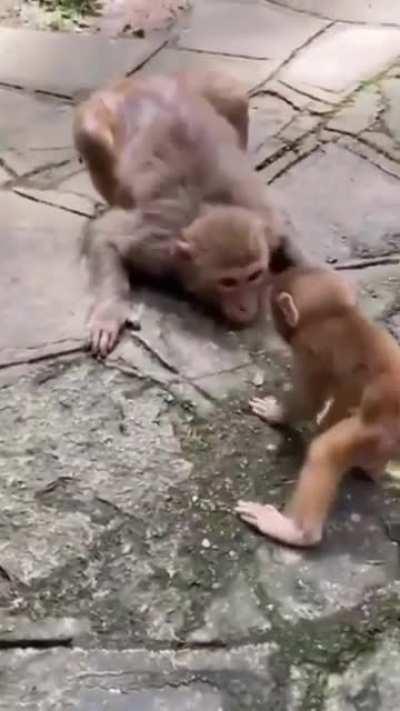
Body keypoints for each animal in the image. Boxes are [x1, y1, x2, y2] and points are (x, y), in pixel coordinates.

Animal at [75, 72, 304, 356]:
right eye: (228, 282)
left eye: (254, 275)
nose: (245, 307)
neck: (210, 206)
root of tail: (139, 82)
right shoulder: (155, 243)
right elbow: (103, 234)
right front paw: (109, 314)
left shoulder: (269, 225)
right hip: (100, 110)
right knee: (91, 137)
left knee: (234, 94)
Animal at [236, 265, 400, 547]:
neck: (339, 313)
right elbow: (346, 388)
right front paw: (326, 418)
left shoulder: (310, 348)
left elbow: (310, 400)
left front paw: (277, 413)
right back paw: (372, 467)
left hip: (385, 432)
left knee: (327, 452)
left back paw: (296, 532)